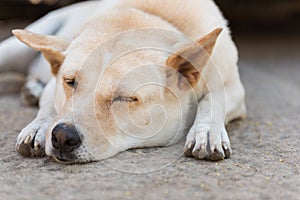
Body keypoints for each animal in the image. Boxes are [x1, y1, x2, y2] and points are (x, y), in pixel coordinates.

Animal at [0, 0, 246, 162]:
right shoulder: (55, 82)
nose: (62, 137)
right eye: (70, 82)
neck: (149, 15)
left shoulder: (234, 87)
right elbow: (50, 105)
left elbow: (214, 99)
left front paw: (206, 131)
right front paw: (39, 126)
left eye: (125, 99)